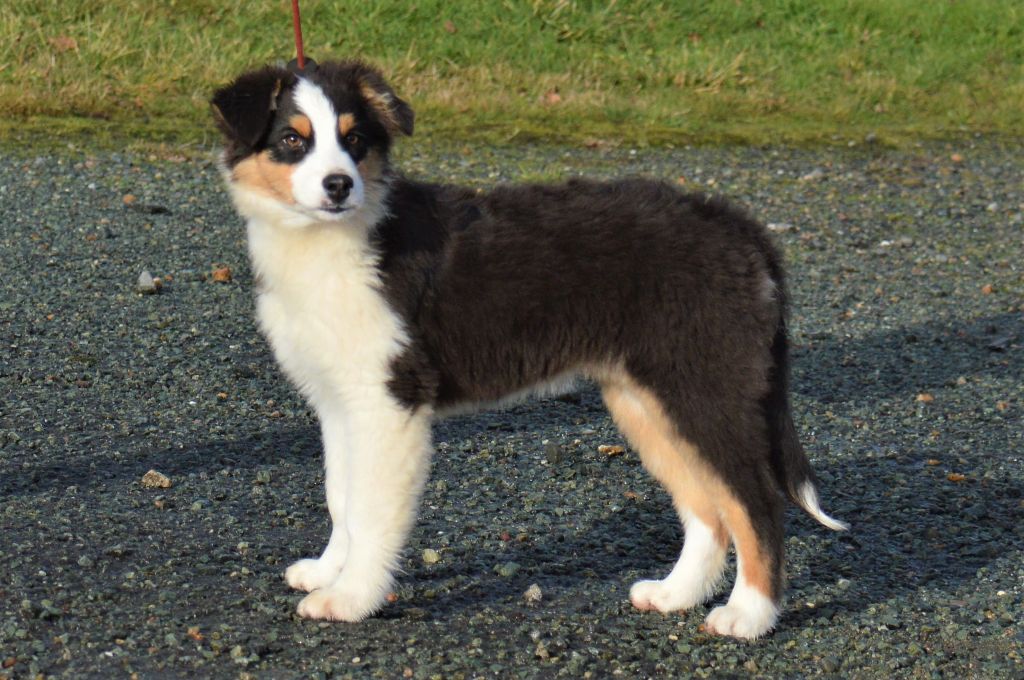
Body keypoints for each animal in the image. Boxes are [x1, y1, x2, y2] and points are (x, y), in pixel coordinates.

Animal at [211, 58, 843, 639]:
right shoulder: (340, 401)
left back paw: (748, 615)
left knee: (755, 502)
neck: (333, 241)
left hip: (706, 389)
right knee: (707, 508)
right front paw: (326, 572)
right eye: (292, 139)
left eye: (355, 140)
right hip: (649, 400)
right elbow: (341, 498)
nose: (339, 185)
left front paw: (350, 598)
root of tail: (743, 230)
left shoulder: (390, 400)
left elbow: (369, 511)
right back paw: (674, 594)